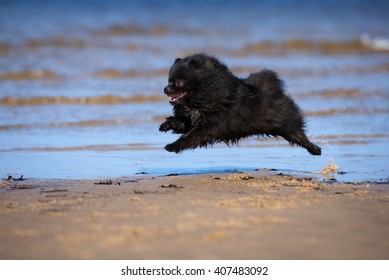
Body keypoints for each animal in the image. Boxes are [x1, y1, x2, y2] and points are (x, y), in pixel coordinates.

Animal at [158, 53, 322, 156]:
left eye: (178, 82)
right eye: (169, 80)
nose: (165, 88)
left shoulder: (211, 125)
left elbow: (191, 137)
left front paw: (172, 146)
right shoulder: (193, 119)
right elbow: (181, 122)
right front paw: (166, 125)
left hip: (286, 124)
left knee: (299, 135)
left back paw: (315, 149)